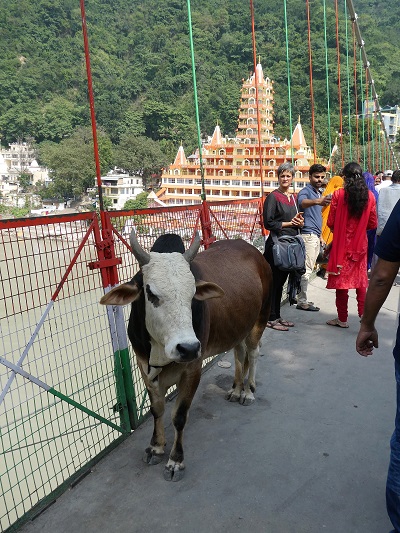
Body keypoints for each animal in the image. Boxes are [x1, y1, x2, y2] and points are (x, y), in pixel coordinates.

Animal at [101, 231, 274, 480]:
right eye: (150, 293)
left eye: (193, 294)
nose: (188, 348)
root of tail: (254, 252)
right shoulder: (144, 367)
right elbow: (157, 409)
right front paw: (156, 447)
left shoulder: (193, 369)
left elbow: (179, 416)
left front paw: (175, 461)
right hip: (238, 327)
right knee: (239, 353)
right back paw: (235, 389)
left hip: (260, 318)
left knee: (253, 351)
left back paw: (248, 392)